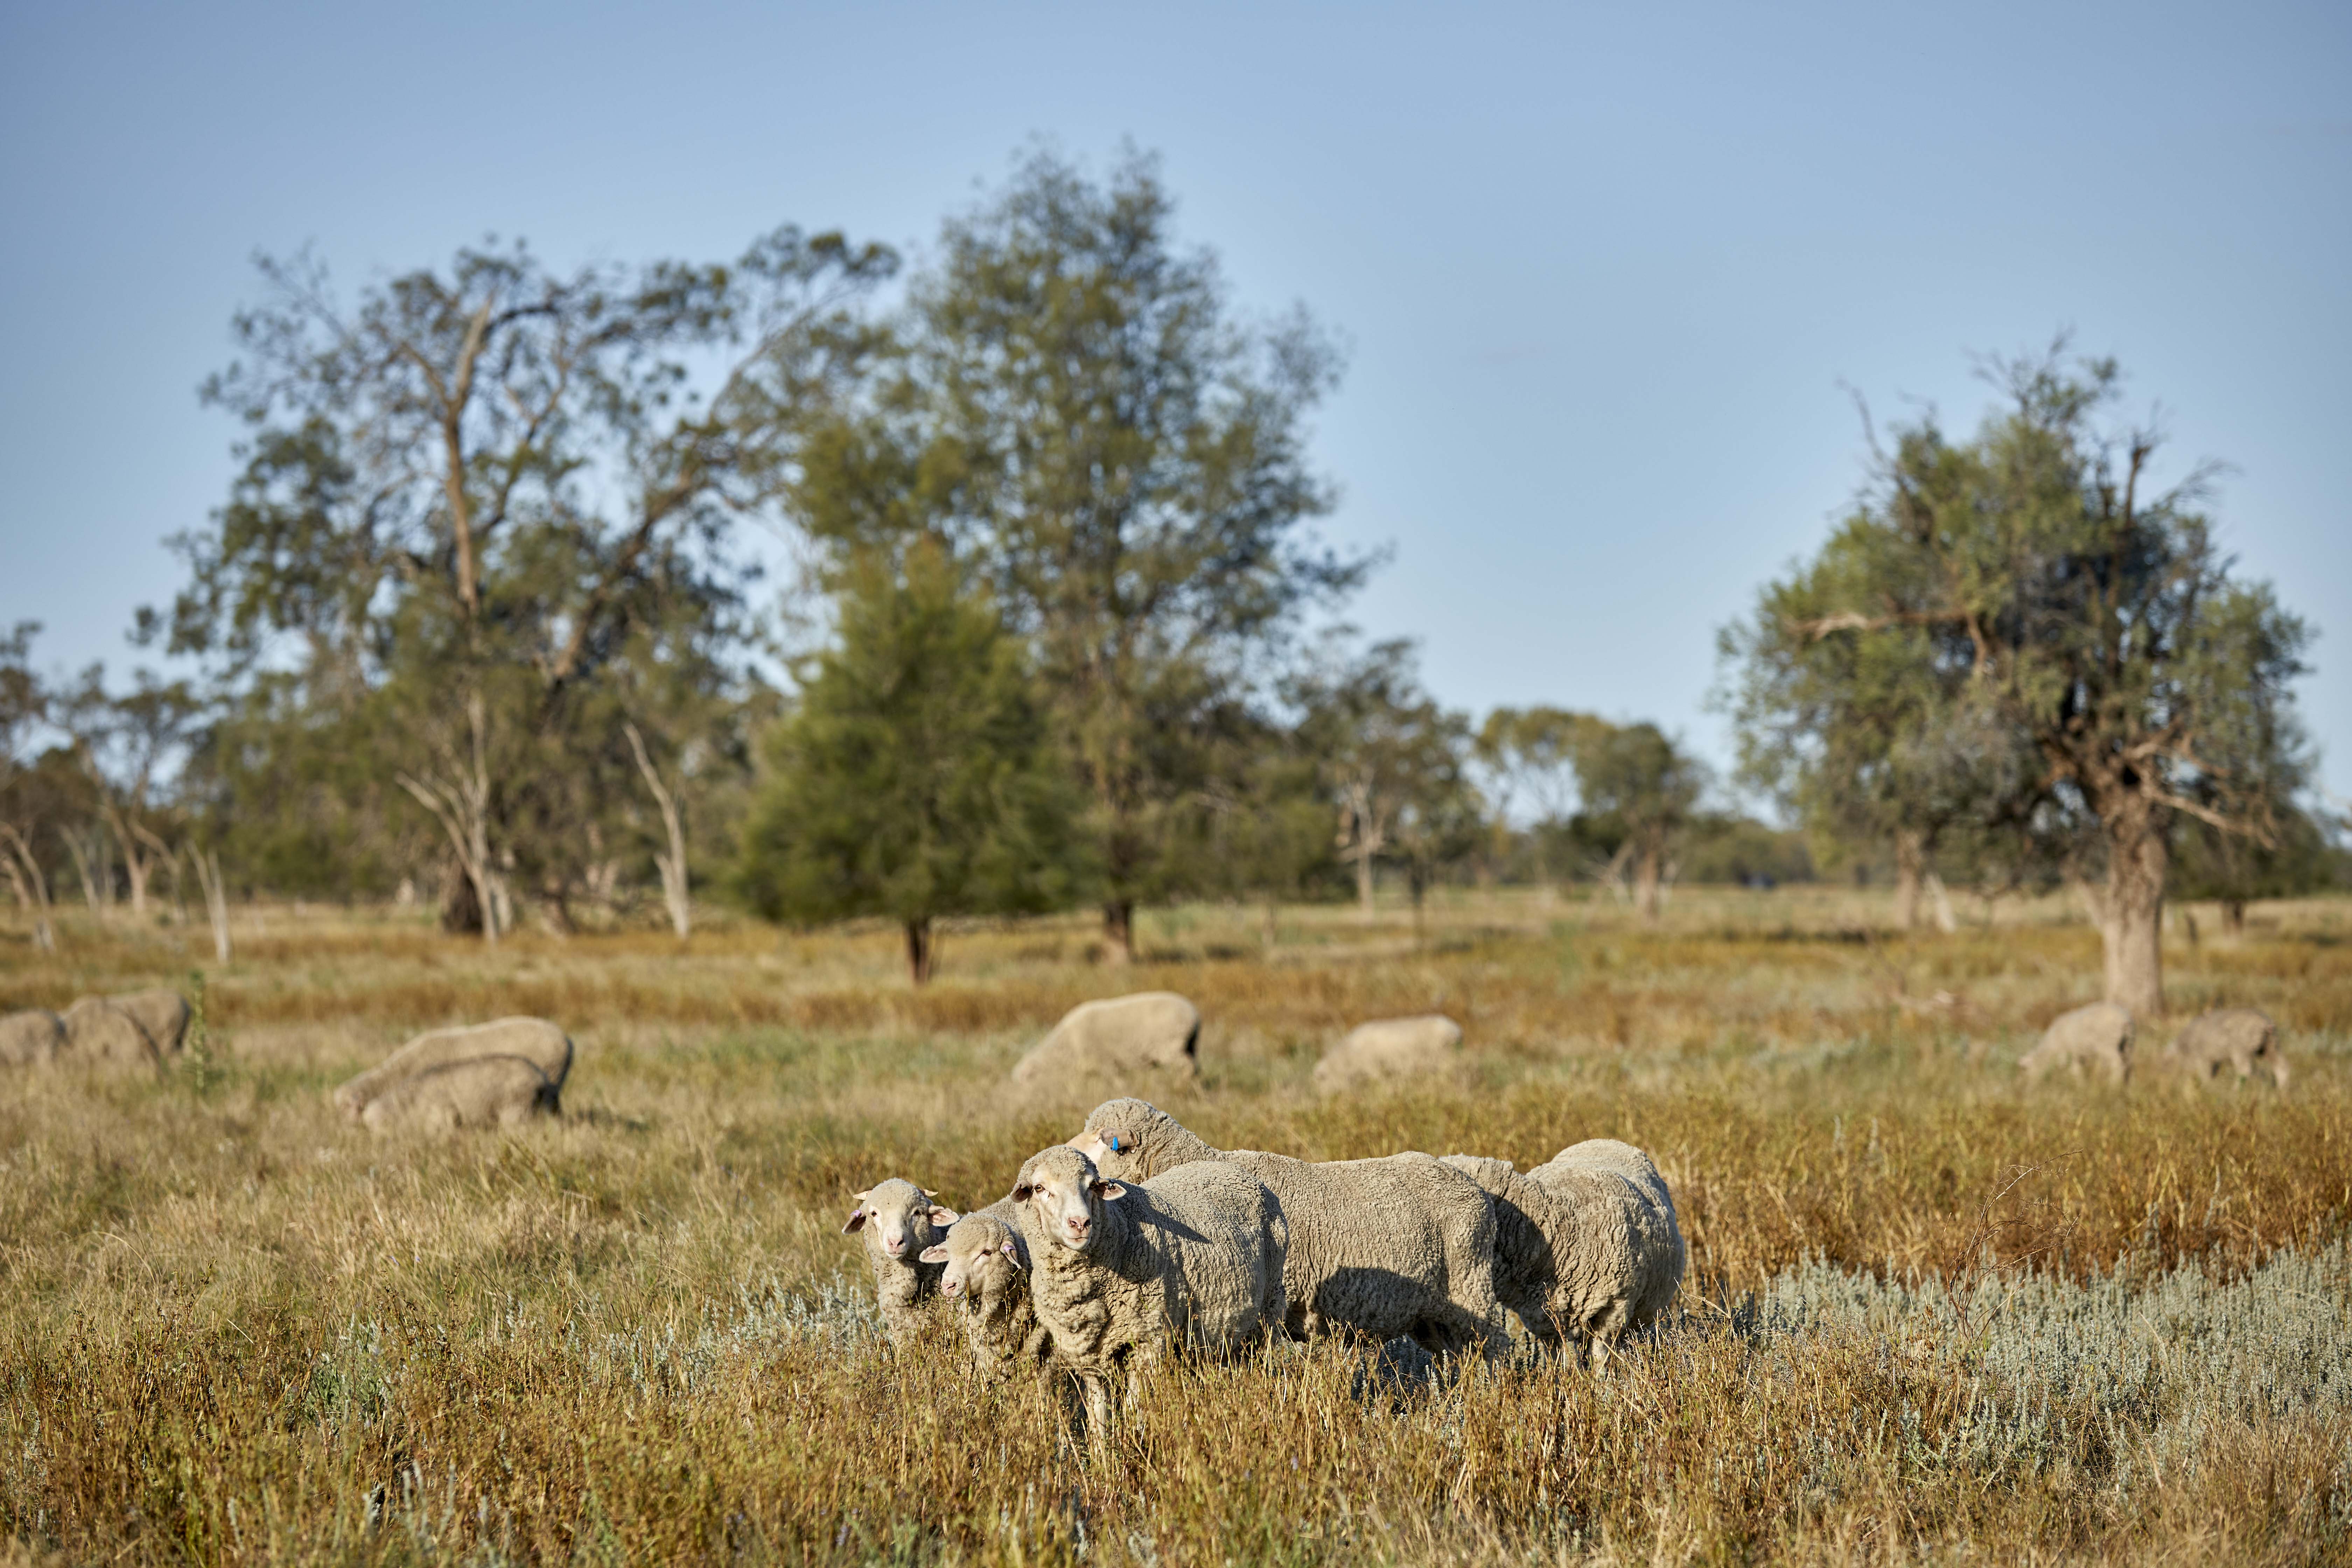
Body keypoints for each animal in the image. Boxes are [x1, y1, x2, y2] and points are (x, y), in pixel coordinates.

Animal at [1008, 992, 1200, 1087]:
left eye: (1027, 1080)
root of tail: (1194, 1015)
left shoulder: (1104, 1060)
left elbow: (1116, 1080)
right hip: (1190, 1045)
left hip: (1171, 1045)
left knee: (1188, 1067)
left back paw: (1180, 1085)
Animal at [1011, 1144, 1287, 1444]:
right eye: (1039, 1188)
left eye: (1093, 1186)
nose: (1081, 1223)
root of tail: (1236, 1169)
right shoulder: (1089, 1357)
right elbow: (1099, 1414)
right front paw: (1103, 1451)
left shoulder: (1147, 1342)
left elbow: (1136, 1408)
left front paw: (1136, 1444)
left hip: (1270, 1308)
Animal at [1312, 1014, 1463, 1095]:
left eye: (1322, 1080)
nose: (1324, 1099)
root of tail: (1456, 1030)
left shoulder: (1373, 1067)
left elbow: (1381, 1082)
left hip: (1445, 1058)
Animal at [2019, 1002, 2133, 1086]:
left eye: (2027, 1071)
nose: (2028, 1086)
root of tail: (2124, 1019)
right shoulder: (2078, 1053)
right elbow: (2077, 1068)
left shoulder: (2067, 1052)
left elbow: (2071, 1069)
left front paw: (2077, 1083)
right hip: (2129, 1044)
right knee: (2128, 1065)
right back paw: (2127, 1084)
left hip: (2108, 1044)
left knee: (2118, 1064)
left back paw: (2114, 1084)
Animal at [2166, 1008, 2289, 1090]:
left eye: (2167, 1065)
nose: (2167, 1082)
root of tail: (2266, 1023)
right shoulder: (2213, 1060)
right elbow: (2212, 1074)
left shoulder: (2203, 1058)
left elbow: (2205, 1075)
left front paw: (2207, 1087)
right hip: (2272, 1046)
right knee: (2282, 1067)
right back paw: (2282, 1090)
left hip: (2242, 1050)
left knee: (2245, 1071)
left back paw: (2236, 1090)